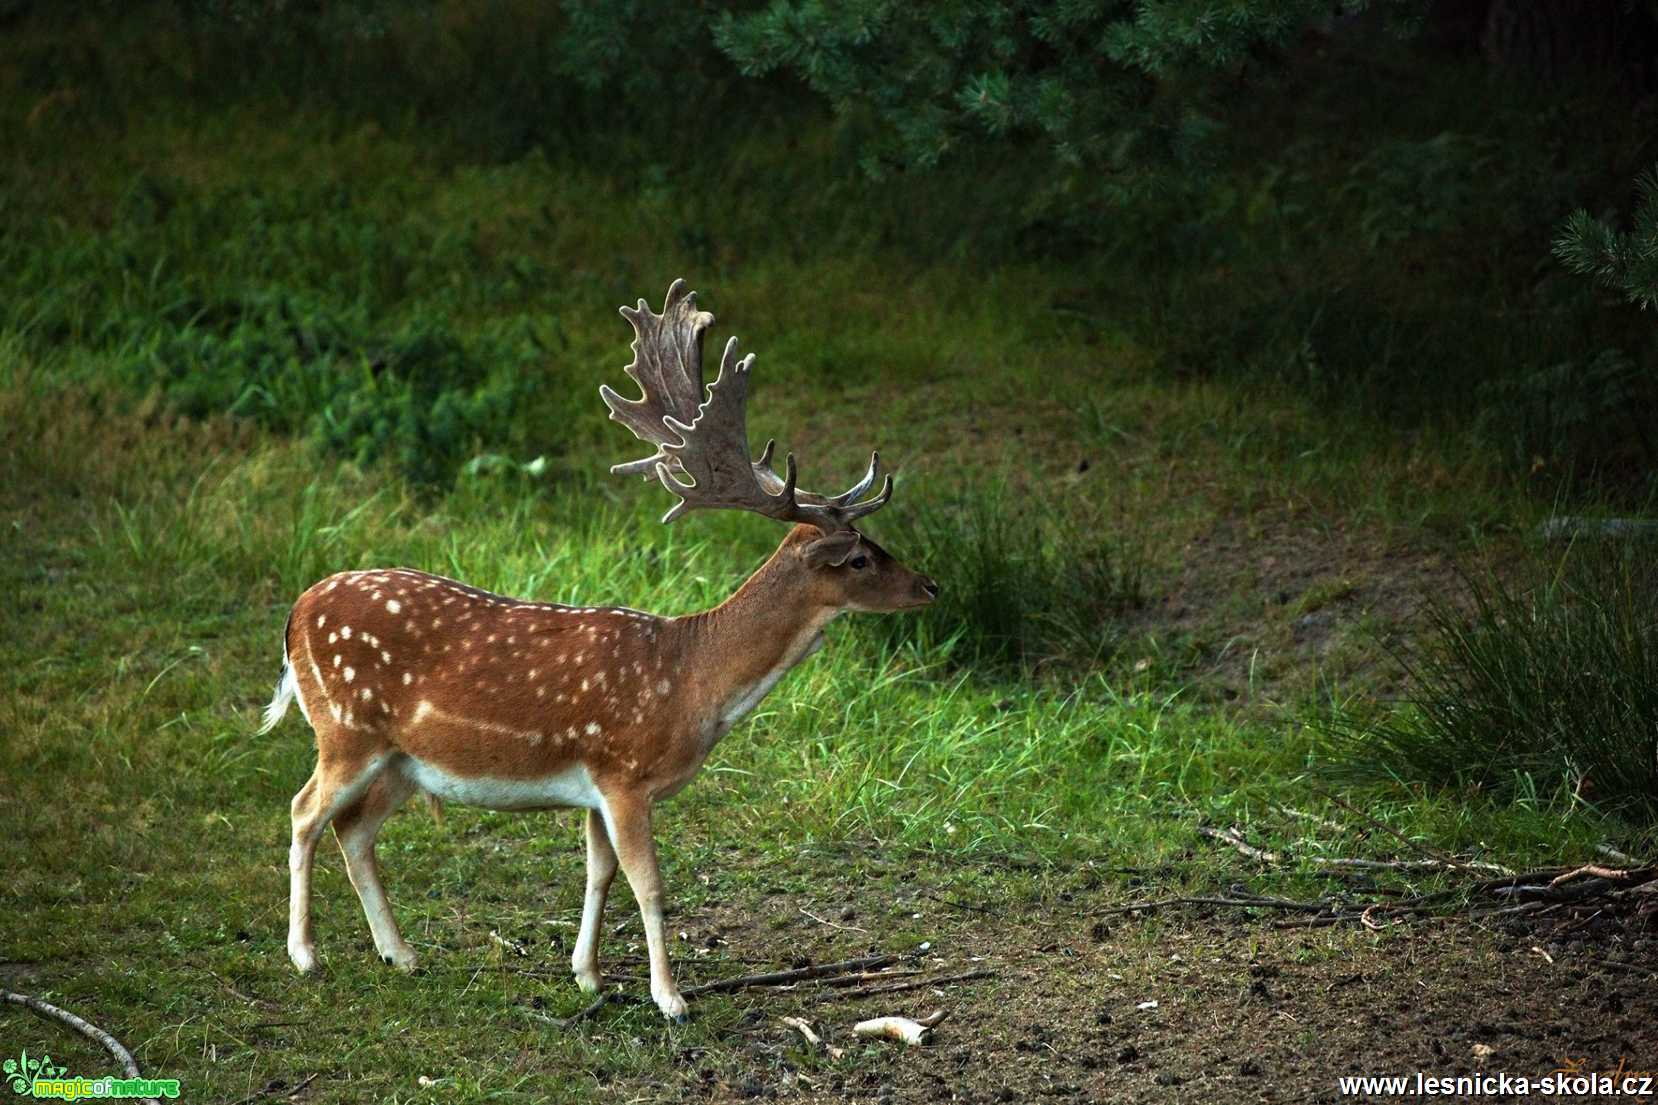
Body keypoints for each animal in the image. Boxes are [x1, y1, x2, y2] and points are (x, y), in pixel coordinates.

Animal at [255, 280, 935, 1022]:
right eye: (861, 558)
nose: (929, 585)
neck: (692, 682)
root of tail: (295, 612)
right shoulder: (625, 774)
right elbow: (650, 884)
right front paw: (670, 998)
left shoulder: (595, 789)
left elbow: (599, 873)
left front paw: (589, 975)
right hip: (345, 727)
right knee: (303, 812)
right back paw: (305, 955)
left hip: (406, 758)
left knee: (353, 827)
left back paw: (400, 953)